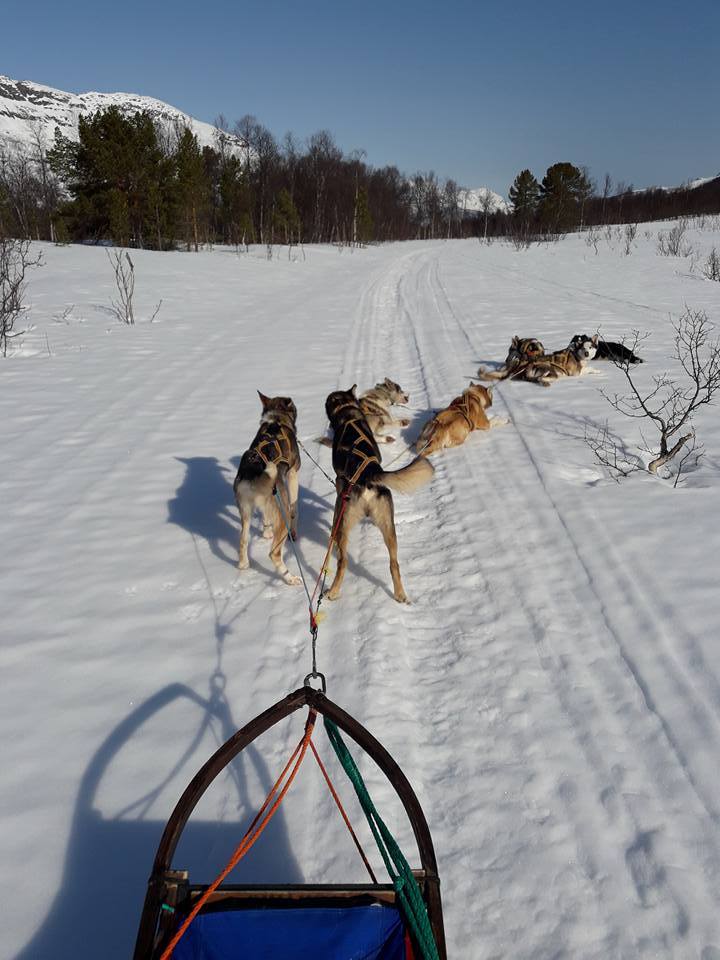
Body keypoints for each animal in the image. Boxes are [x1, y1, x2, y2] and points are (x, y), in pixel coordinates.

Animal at [233, 390, 300, 584]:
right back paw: (290, 578)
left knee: (243, 540)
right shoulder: (293, 475)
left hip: (245, 512)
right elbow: (295, 507)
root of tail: (253, 473)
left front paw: (266, 532)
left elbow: (265, 518)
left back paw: (243, 564)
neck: (276, 420)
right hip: (282, 517)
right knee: (274, 554)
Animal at [326, 386, 434, 604]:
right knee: (394, 564)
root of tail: (369, 475)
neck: (347, 412)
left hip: (346, 519)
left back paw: (333, 591)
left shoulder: (339, 486)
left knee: (343, 561)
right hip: (389, 529)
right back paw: (400, 594)